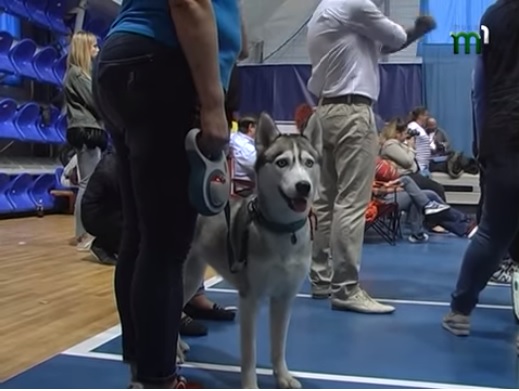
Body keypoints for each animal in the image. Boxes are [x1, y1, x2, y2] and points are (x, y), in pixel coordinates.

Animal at [182, 112, 320, 388]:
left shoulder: (284, 298)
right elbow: (250, 354)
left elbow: (278, 346)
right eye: (282, 163)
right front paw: (249, 385)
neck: (282, 231)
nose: (303, 186)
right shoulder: (250, 299)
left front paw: (283, 377)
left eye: (309, 162)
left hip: (192, 277)